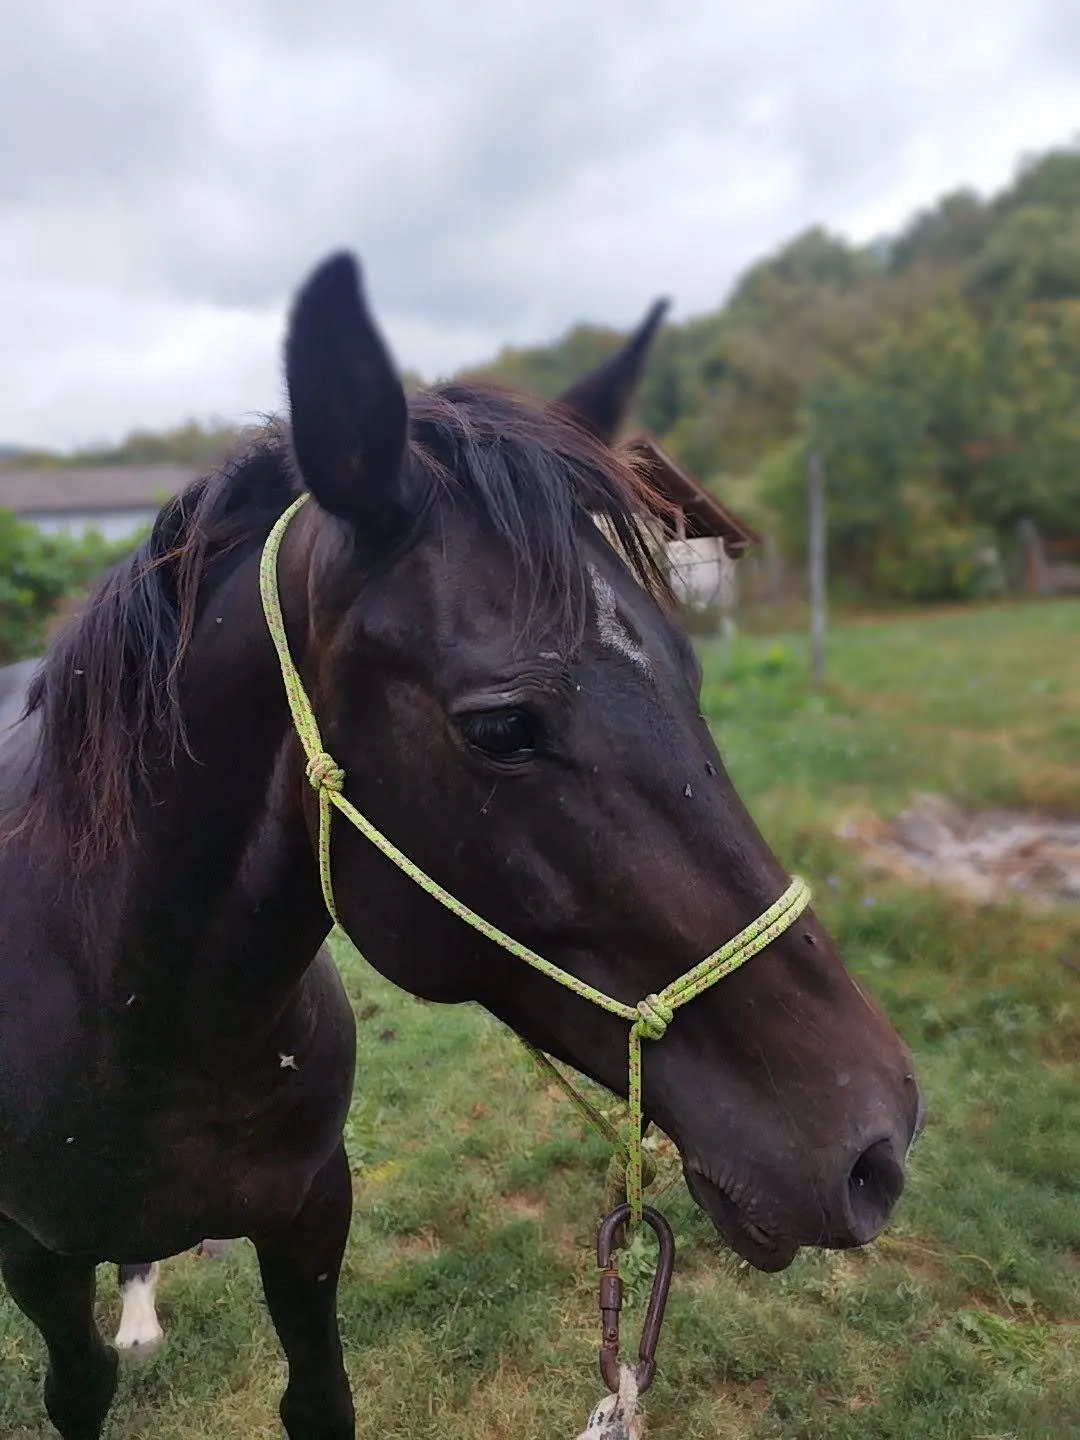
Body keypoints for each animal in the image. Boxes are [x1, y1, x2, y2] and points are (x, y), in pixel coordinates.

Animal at [0, 250, 922, 1440]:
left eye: (689, 671)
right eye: (500, 728)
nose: (877, 1143)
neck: (136, 1012)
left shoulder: (311, 1214)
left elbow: (319, 1397)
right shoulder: (35, 1257)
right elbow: (78, 1389)